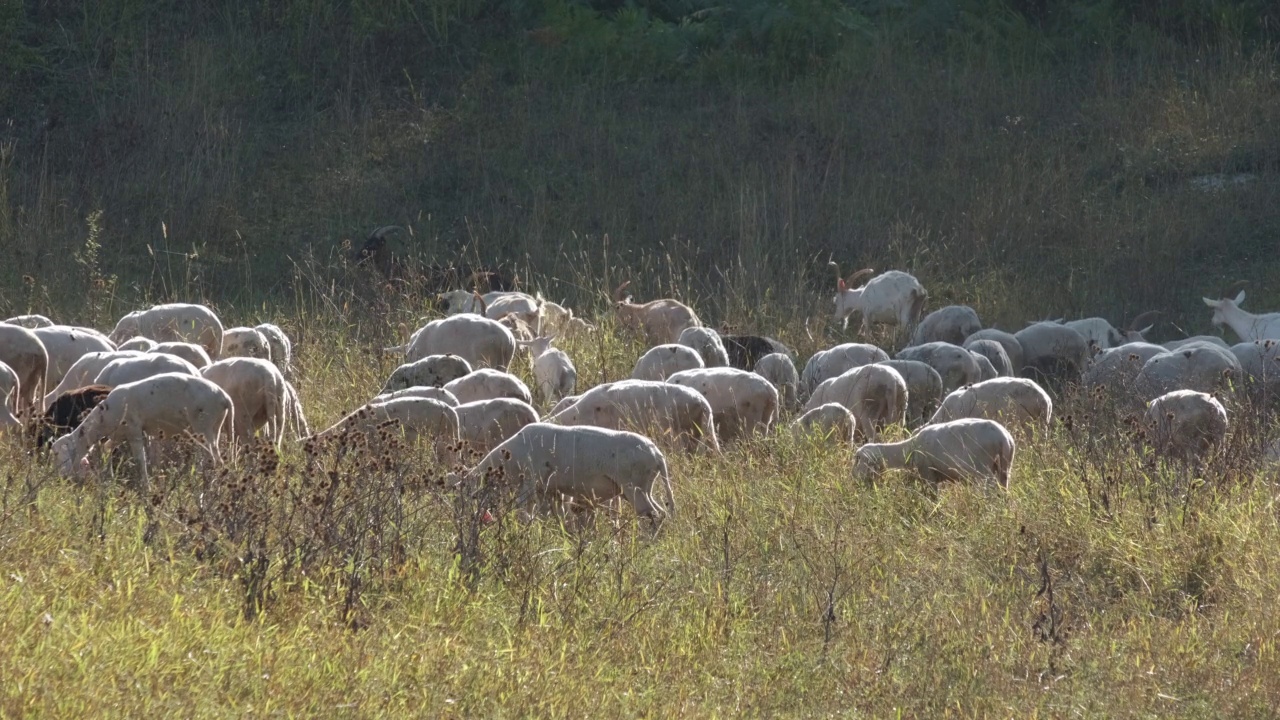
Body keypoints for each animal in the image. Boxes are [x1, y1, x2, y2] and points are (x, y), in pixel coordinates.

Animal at [49, 368, 235, 491]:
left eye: (57, 454)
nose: (61, 479)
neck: (102, 418)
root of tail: (226, 398)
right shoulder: (118, 434)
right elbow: (107, 449)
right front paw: (108, 478)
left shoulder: (134, 431)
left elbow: (140, 460)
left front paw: (146, 487)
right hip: (215, 428)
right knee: (218, 459)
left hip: (204, 426)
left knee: (211, 459)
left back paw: (206, 486)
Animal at [460, 422, 680, 525]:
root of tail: (657, 455)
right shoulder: (552, 491)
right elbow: (553, 516)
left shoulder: (530, 483)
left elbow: (524, 511)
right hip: (644, 488)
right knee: (660, 514)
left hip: (635, 488)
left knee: (652, 516)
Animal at [855, 417, 1013, 489]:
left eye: (858, 459)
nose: (854, 481)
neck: (909, 449)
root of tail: (1004, 438)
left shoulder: (928, 473)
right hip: (1005, 467)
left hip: (983, 468)